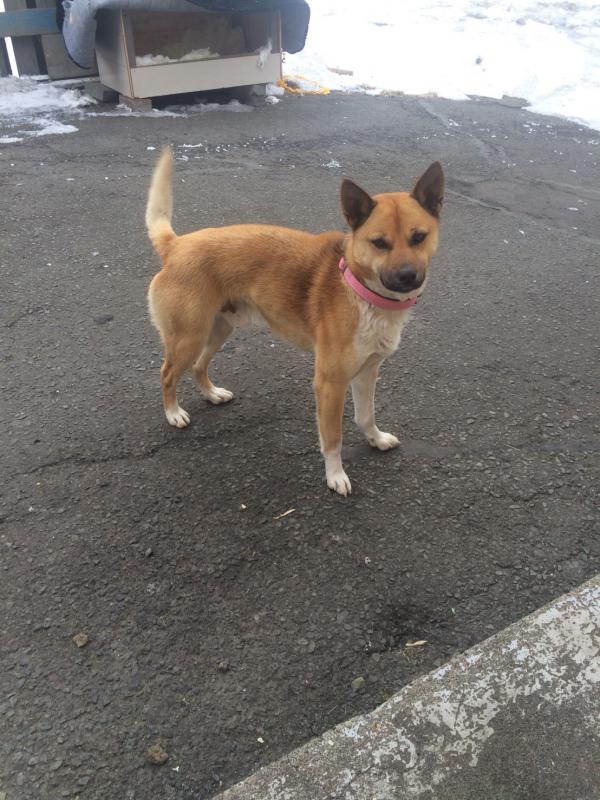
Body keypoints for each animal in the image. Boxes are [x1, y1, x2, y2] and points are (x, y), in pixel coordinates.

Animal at [146, 148, 440, 494]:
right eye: (379, 243)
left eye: (419, 237)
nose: (408, 276)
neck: (360, 290)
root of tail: (176, 245)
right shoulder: (329, 384)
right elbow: (333, 439)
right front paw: (335, 476)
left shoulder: (367, 372)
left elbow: (365, 416)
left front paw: (376, 439)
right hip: (189, 337)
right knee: (167, 374)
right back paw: (173, 413)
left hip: (218, 328)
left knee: (198, 366)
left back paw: (212, 394)